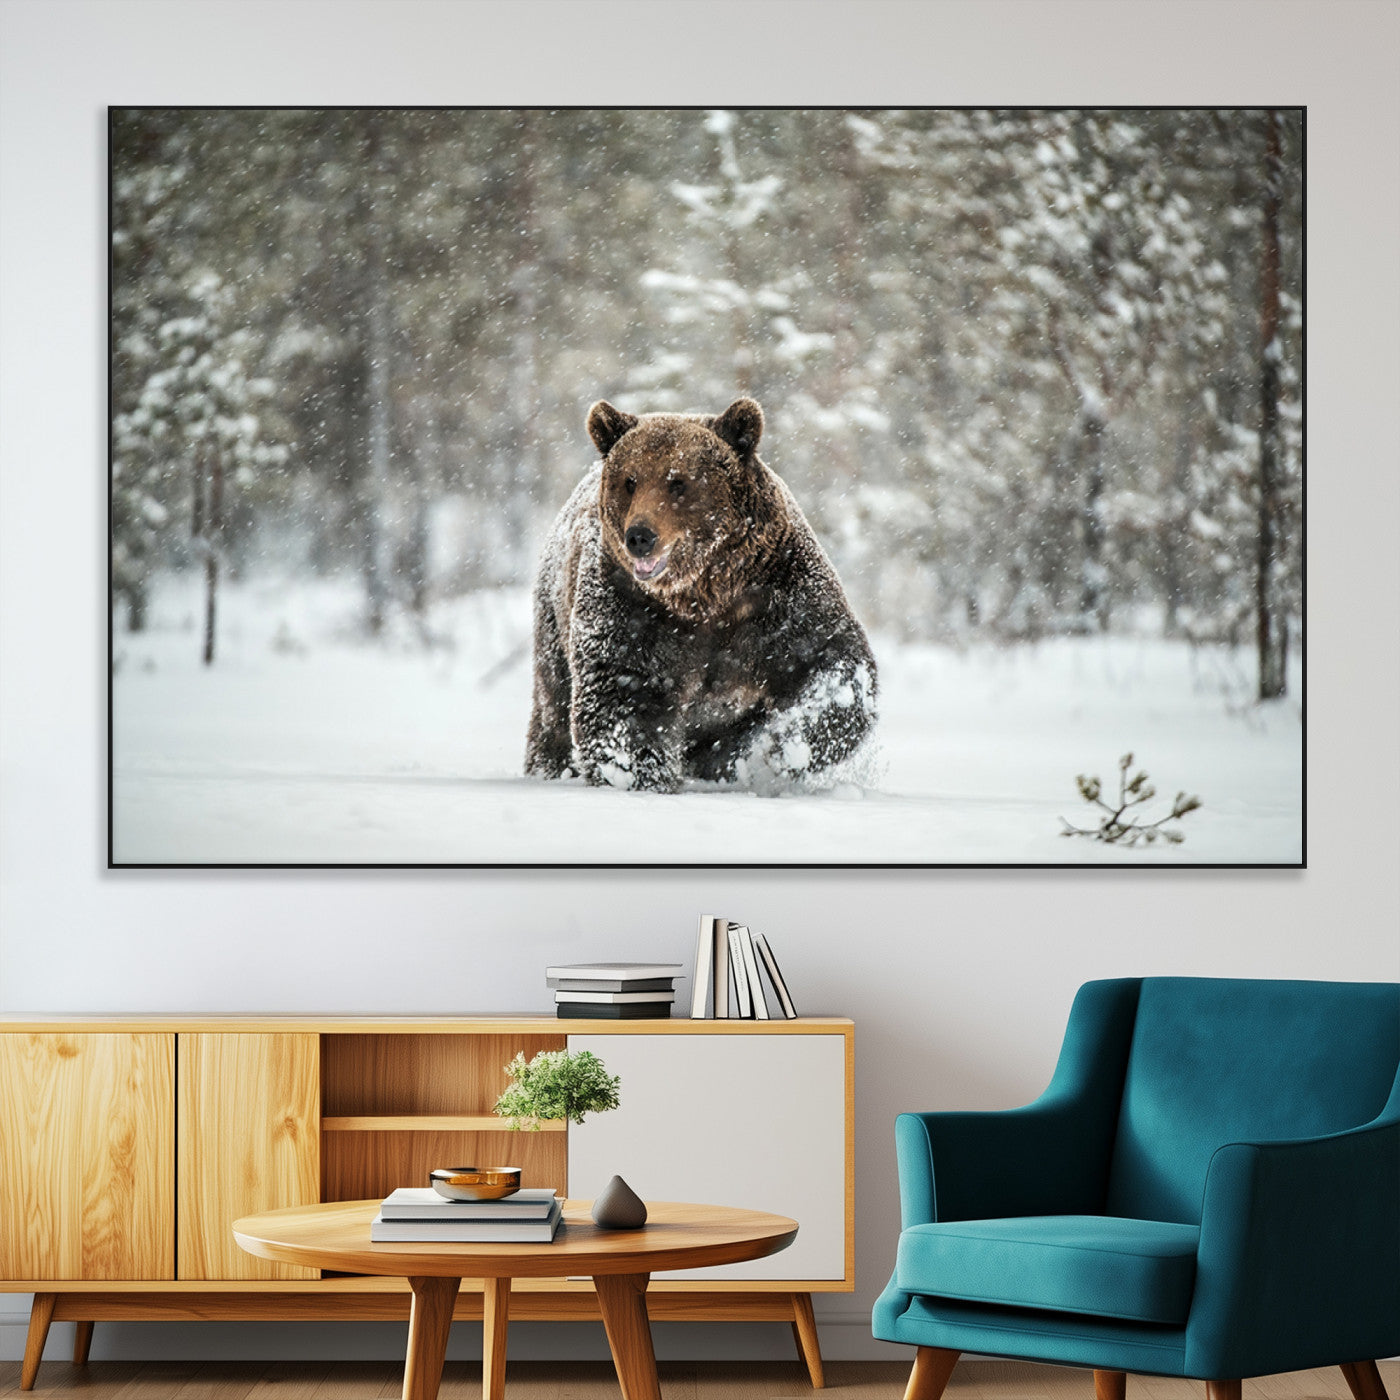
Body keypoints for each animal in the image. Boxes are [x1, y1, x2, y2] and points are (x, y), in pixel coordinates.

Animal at [524, 397, 877, 794]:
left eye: (678, 482)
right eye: (630, 481)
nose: (640, 536)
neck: (704, 592)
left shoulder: (778, 593)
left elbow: (831, 662)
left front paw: (783, 747)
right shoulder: (631, 607)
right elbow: (623, 694)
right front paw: (641, 777)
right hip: (554, 618)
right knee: (553, 703)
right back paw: (552, 766)